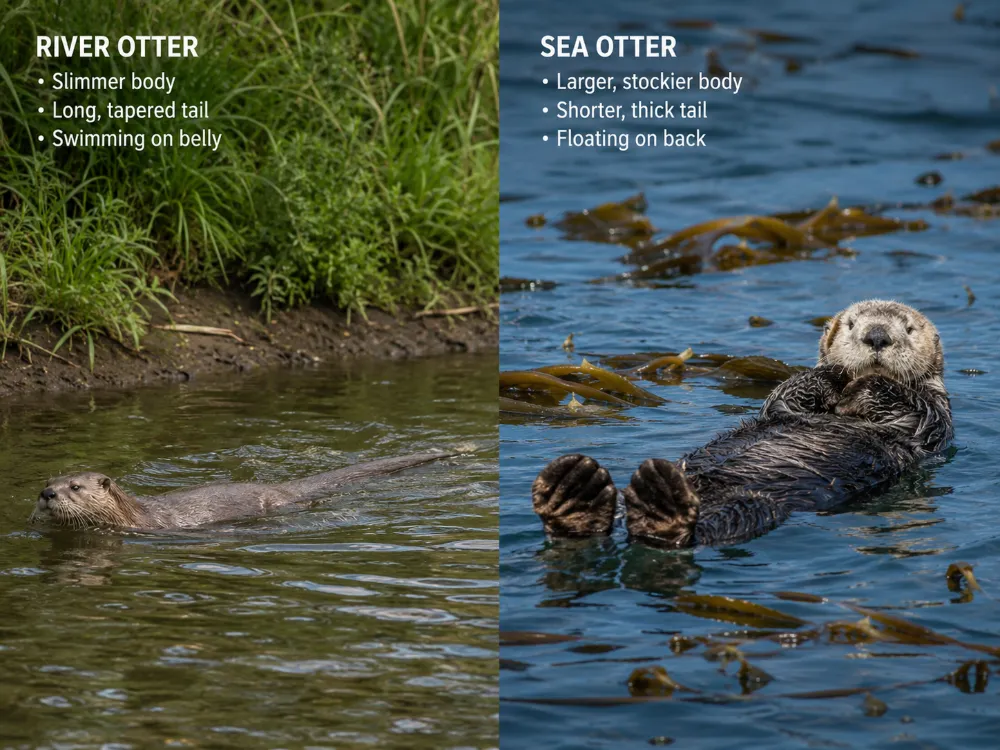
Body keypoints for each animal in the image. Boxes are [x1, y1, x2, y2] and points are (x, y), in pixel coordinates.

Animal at [531, 300, 953, 547]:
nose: (876, 335)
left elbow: (913, 409)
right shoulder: (783, 405)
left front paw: (864, 383)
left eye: (909, 329)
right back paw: (573, 491)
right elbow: (784, 397)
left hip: (751, 506)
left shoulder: (934, 417)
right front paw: (832, 374)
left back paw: (654, 504)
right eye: (851, 324)